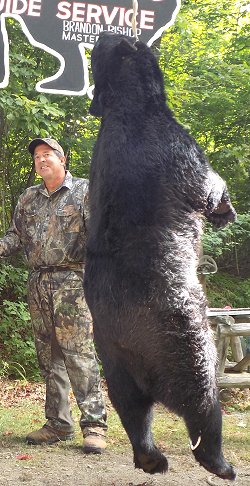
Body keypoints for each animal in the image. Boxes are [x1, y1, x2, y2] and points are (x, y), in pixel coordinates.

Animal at [84, 32, 236, 480]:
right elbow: (211, 186)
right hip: (189, 349)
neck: (129, 105)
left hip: (113, 369)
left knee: (133, 414)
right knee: (204, 409)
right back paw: (220, 464)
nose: (106, 32)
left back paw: (151, 459)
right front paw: (226, 210)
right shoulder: (182, 149)